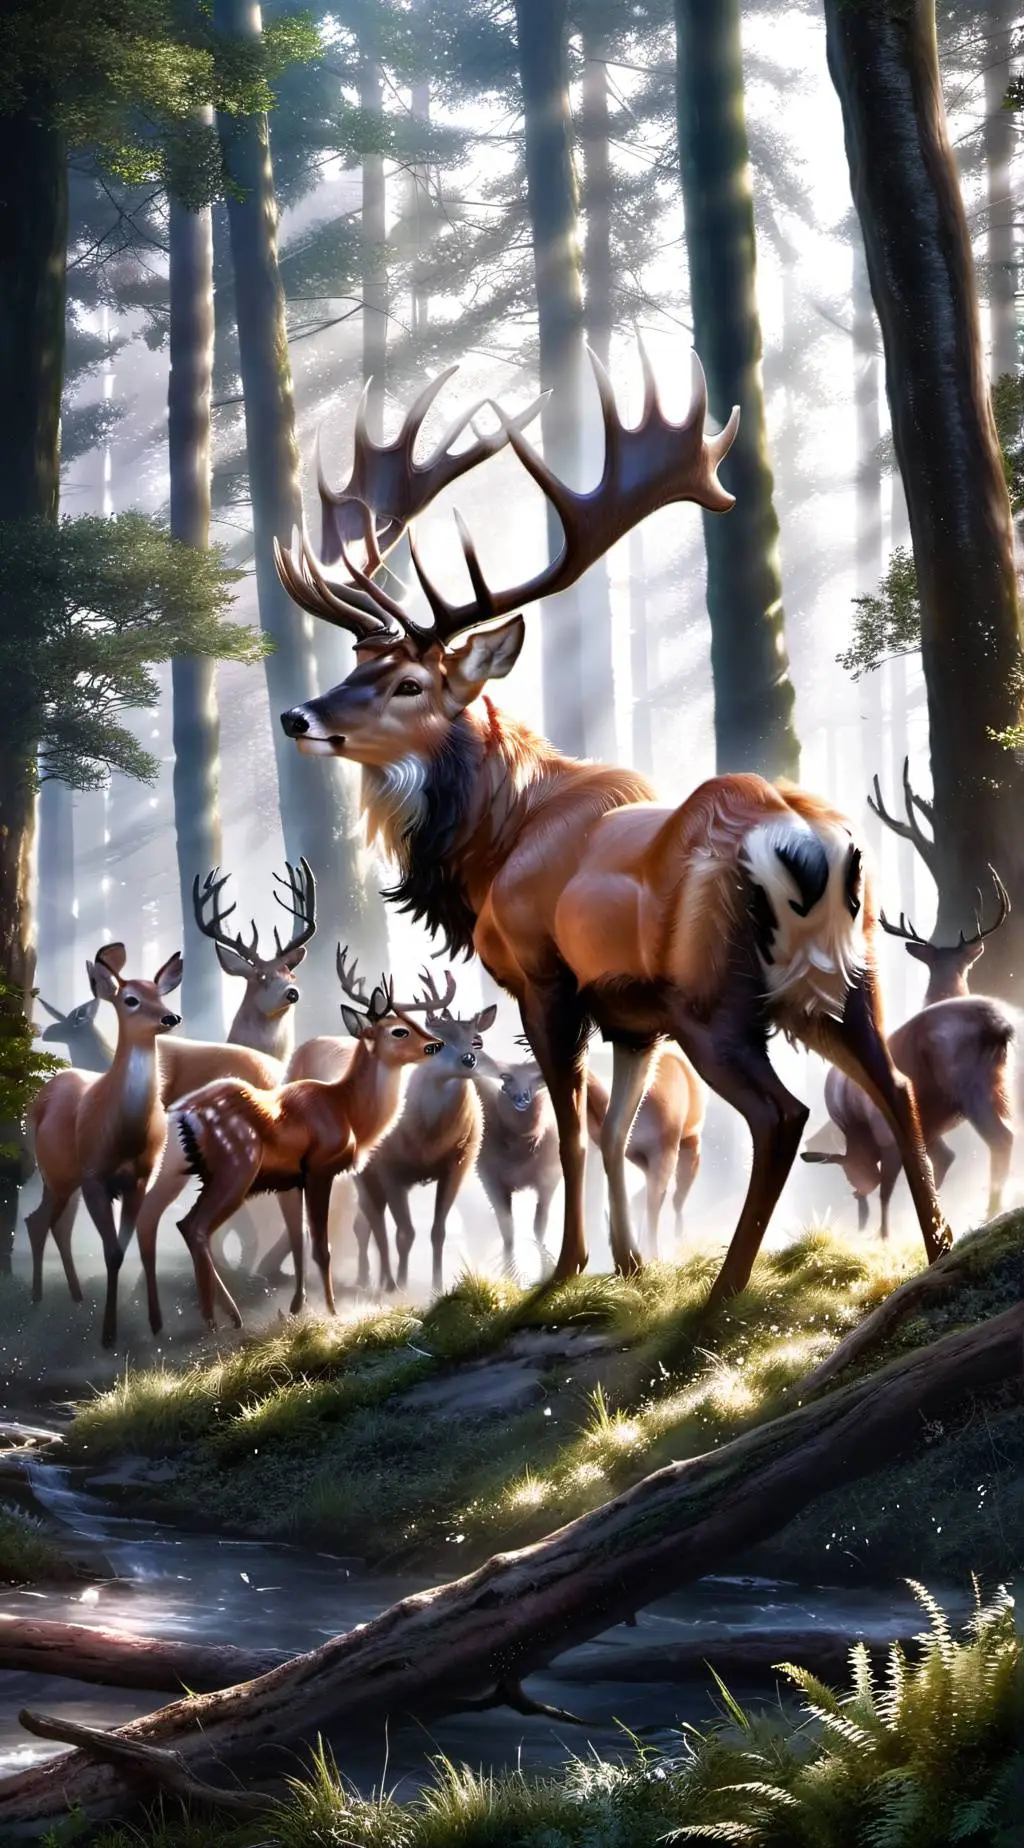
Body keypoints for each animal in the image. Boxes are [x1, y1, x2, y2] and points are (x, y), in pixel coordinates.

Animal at [26, 944, 184, 1347]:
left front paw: (156, 1325)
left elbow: (138, 1248)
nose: (171, 1016)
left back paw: (75, 1295)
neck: (126, 1133)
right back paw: (38, 1297)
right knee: (40, 1222)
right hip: (58, 1174)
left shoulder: (139, 1179)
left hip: (65, 1181)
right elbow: (112, 1253)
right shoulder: (96, 1177)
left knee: (52, 1223)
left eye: (161, 994)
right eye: (130, 999)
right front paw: (109, 1335)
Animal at [168, 951, 449, 1331]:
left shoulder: (290, 1180)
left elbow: (299, 1240)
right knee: (197, 1226)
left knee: (187, 1225)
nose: (436, 1044)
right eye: (399, 1030)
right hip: (236, 1169)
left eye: (412, 1021)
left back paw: (219, 1316)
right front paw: (331, 1311)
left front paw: (297, 1307)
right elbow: (320, 1245)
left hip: (212, 1173)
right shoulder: (319, 1169)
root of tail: (185, 1112)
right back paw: (226, 1317)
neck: (348, 1111)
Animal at [352, 968, 498, 1294]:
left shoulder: (458, 1163)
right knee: (371, 1224)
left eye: (477, 1040)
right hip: (363, 1174)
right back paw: (371, 1281)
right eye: (439, 1040)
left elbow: (437, 1231)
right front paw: (399, 1286)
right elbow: (404, 1233)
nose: (469, 1060)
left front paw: (436, 1285)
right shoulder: (389, 1167)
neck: (428, 1139)